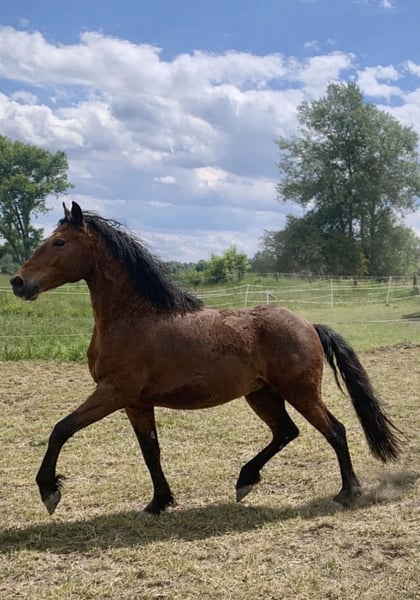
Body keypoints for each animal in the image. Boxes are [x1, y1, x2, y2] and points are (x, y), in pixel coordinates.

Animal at [10, 201, 401, 517]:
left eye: (59, 242)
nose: (18, 282)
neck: (133, 318)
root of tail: (309, 325)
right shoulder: (135, 403)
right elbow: (151, 451)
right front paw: (159, 502)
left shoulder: (113, 393)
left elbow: (61, 429)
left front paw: (49, 491)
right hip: (262, 394)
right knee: (286, 431)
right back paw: (245, 480)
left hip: (300, 393)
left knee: (334, 430)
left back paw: (347, 493)